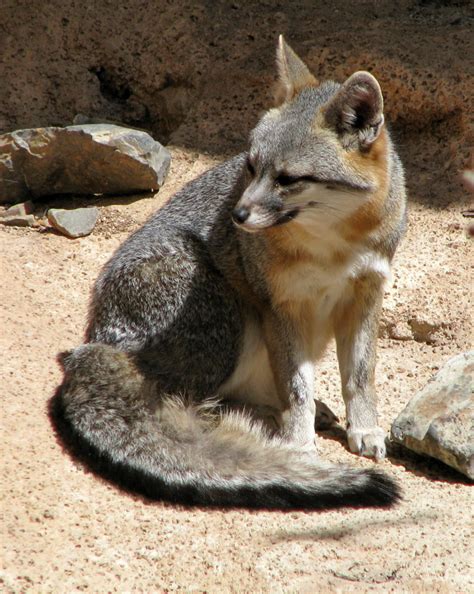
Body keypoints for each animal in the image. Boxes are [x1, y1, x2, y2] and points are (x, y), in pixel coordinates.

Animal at [51, 37, 408, 508]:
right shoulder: (280, 304)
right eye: (250, 166)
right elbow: (296, 387)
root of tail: (93, 343)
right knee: (193, 398)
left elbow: (360, 375)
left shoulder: (366, 293)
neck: (334, 248)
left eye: (288, 179)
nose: (237, 216)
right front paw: (299, 446)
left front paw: (365, 428)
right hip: (222, 306)